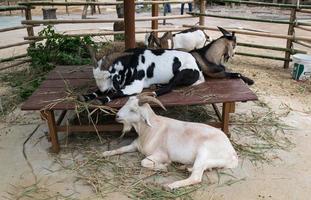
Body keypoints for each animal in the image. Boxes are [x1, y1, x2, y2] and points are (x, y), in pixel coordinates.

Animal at [78, 47, 206, 104]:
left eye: (109, 76)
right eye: (95, 77)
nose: (104, 91)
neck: (130, 63)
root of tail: (197, 66)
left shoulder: (135, 85)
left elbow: (119, 92)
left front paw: (101, 100)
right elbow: (97, 91)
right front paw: (86, 96)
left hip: (183, 72)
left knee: (170, 86)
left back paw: (154, 92)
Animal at [102, 93, 239, 189]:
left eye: (133, 110)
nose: (117, 116)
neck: (151, 129)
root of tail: (232, 154)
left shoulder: (161, 154)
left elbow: (144, 162)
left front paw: (163, 167)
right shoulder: (136, 145)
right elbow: (120, 149)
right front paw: (105, 153)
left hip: (204, 153)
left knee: (195, 177)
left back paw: (170, 185)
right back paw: (186, 168)